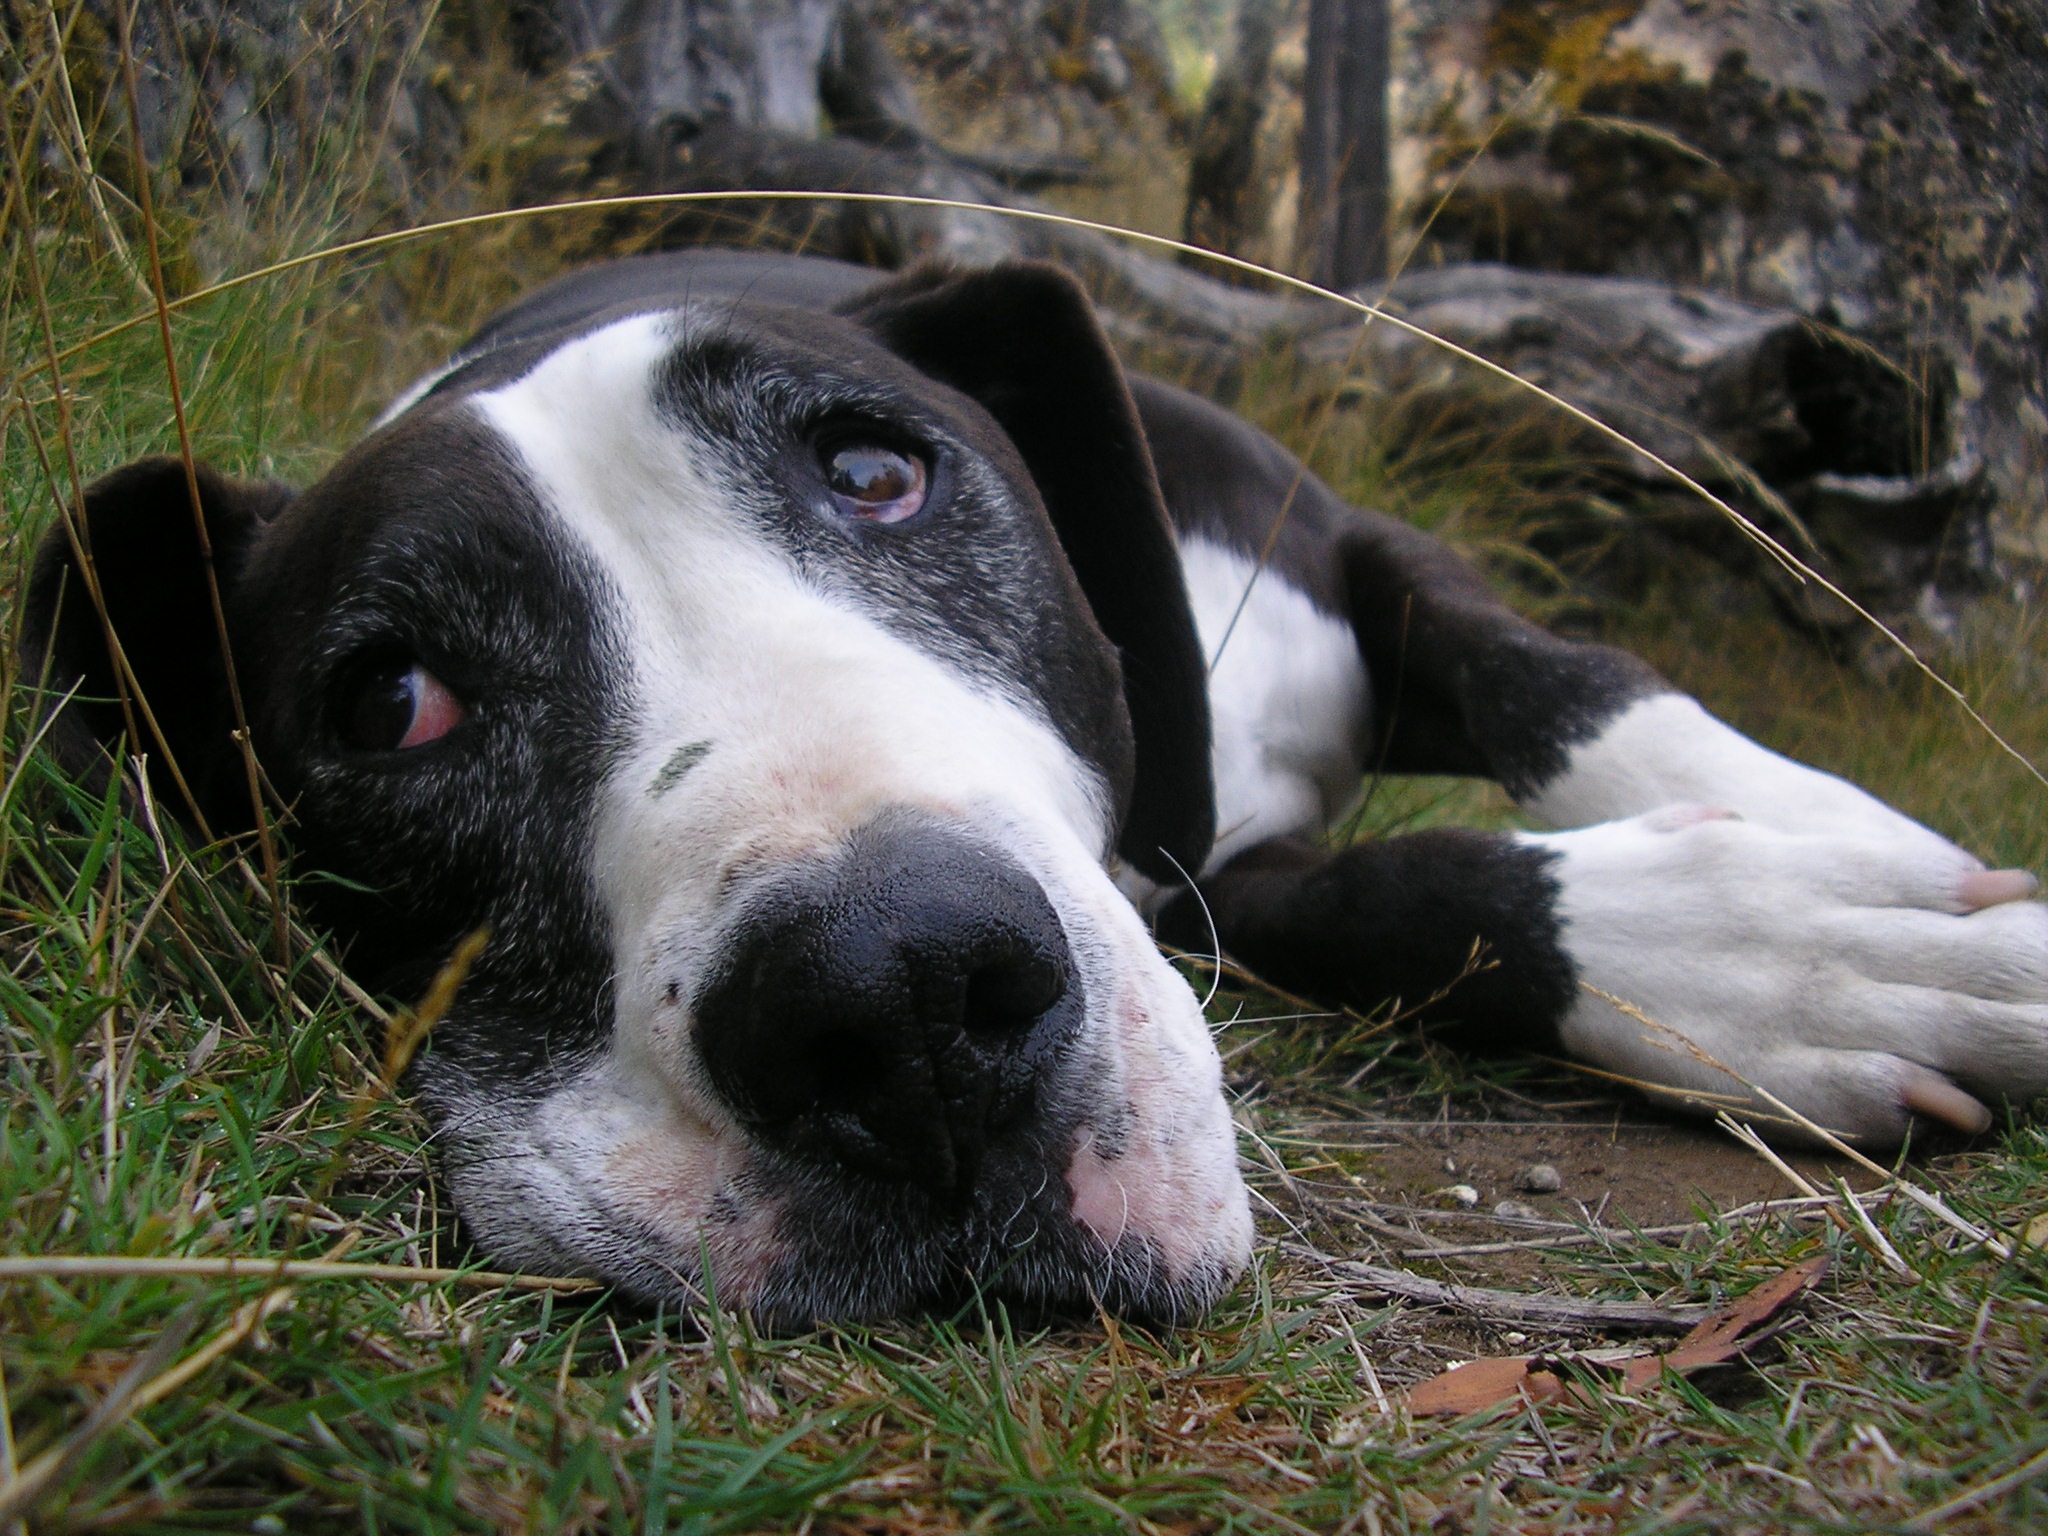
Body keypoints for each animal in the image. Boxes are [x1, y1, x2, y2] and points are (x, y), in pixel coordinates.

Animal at [28, 246, 2048, 1327]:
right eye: (393, 702)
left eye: (878, 475)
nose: (897, 994)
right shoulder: (1218, 872)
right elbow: (1397, 895)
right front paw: (1766, 953)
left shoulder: (1352, 551)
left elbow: (1576, 687)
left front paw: (1829, 887)